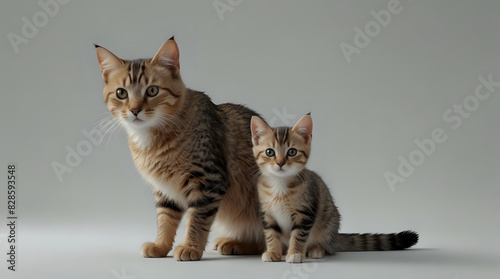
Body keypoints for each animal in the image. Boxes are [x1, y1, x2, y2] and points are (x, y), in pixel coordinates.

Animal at [94, 36, 266, 260]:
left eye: (152, 90)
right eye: (121, 93)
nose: (134, 110)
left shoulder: (208, 181)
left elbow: (197, 220)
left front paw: (190, 247)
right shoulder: (165, 191)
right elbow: (165, 219)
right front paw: (160, 246)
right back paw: (234, 243)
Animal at [250, 115, 418, 264]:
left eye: (292, 151)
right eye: (269, 152)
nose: (280, 163)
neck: (280, 184)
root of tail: (335, 238)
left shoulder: (306, 213)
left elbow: (298, 235)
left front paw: (296, 253)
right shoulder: (267, 214)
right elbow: (271, 234)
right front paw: (273, 252)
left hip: (328, 222)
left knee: (326, 246)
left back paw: (316, 250)